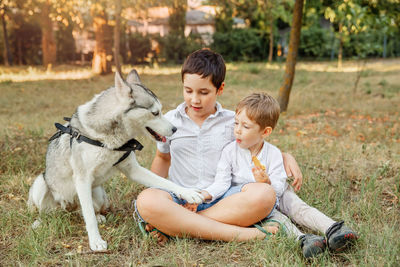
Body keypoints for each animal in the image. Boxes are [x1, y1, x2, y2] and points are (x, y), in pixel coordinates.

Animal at [28, 70, 203, 252]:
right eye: (155, 113)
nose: (175, 129)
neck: (108, 139)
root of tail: (68, 208)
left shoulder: (132, 170)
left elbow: (165, 182)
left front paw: (188, 193)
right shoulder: (82, 178)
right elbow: (88, 216)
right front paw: (95, 241)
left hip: (97, 193)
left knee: (86, 210)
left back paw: (97, 216)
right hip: (42, 184)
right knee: (52, 212)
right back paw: (40, 222)